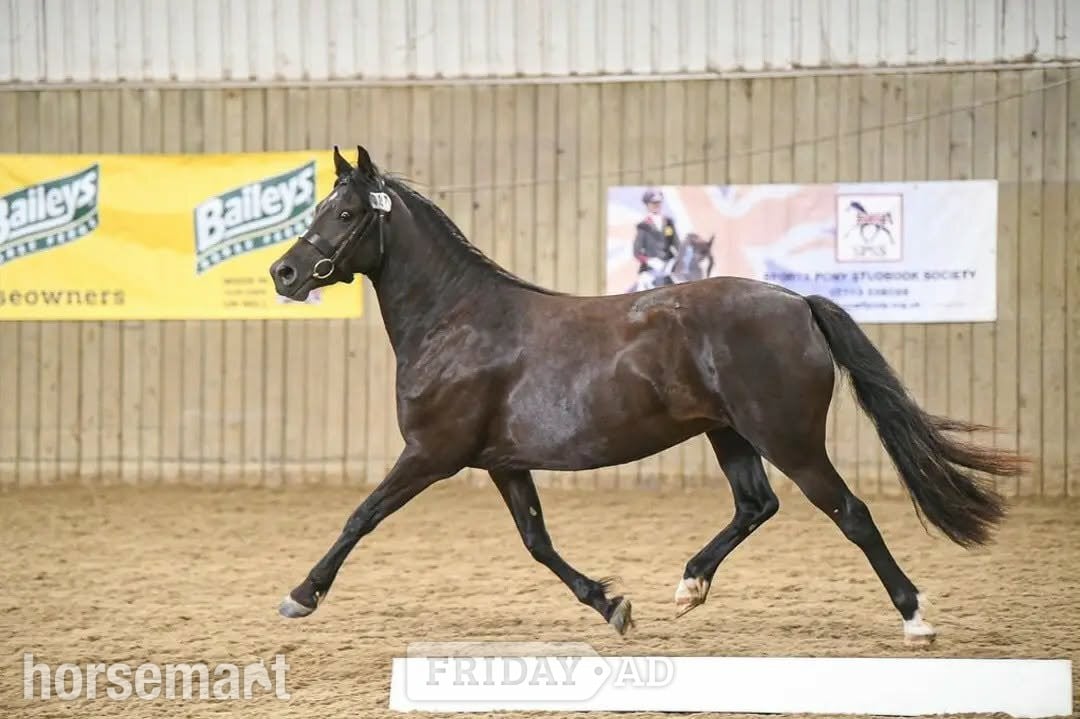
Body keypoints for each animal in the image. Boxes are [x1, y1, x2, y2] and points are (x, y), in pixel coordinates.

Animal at [269, 146, 1025, 644]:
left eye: (344, 212)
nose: (283, 273)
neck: (456, 320)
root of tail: (796, 302)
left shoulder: (431, 452)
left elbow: (360, 516)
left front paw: (301, 595)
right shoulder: (503, 462)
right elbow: (537, 542)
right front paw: (612, 604)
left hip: (789, 438)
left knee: (851, 512)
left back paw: (915, 616)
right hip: (729, 433)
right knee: (757, 504)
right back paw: (689, 586)